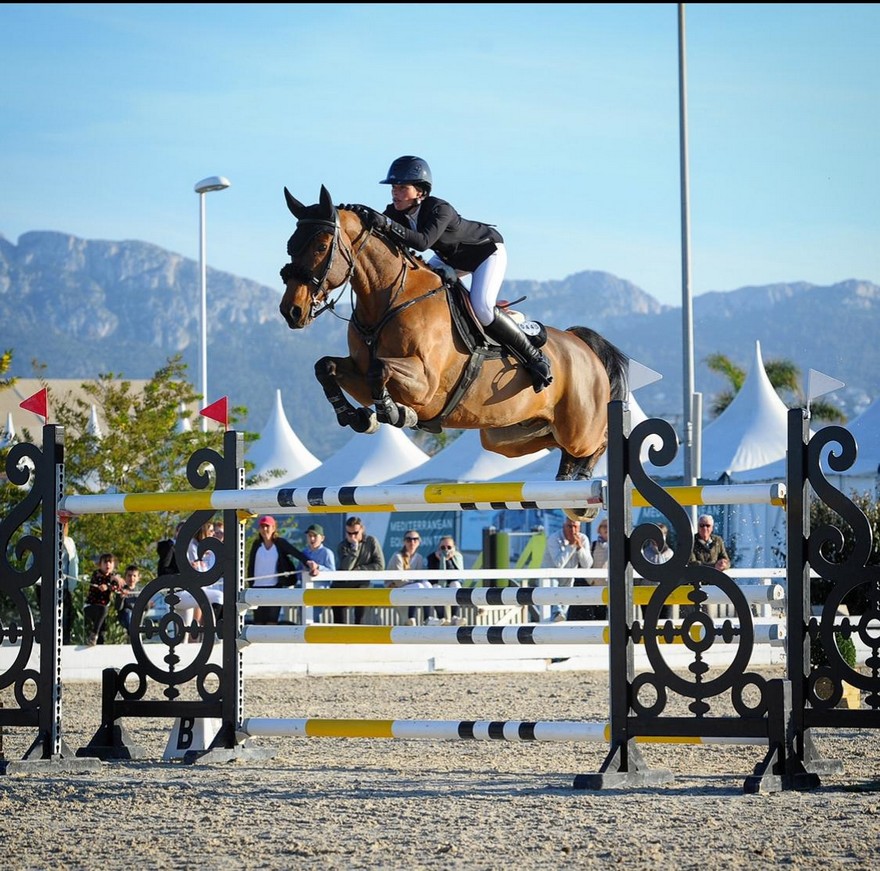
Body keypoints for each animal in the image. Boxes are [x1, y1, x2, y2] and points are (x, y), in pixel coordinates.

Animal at [278, 184, 628, 510]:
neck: (391, 299)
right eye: (291, 245)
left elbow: (381, 370)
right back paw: (568, 484)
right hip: (508, 436)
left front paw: (394, 412)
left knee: (600, 440)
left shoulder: (425, 384)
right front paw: (357, 417)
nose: (291, 311)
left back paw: (584, 488)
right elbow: (326, 366)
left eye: (322, 246)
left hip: (579, 428)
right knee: (555, 445)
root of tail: (583, 345)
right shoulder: (359, 372)